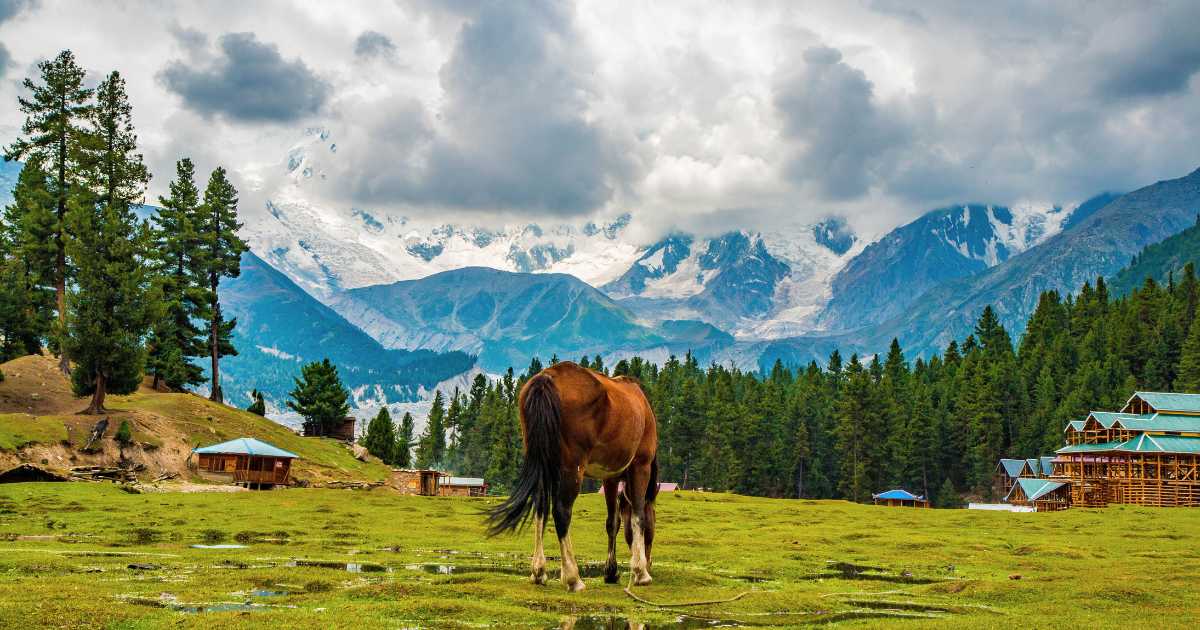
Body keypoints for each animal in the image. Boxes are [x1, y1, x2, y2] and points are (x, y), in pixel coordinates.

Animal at [484, 360, 662, 592]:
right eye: (654, 526)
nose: (650, 563)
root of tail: (547, 378)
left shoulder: (610, 476)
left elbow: (612, 522)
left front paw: (611, 572)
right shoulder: (640, 466)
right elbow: (638, 516)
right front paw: (640, 573)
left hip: (546, 465)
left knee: (540, 509)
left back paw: (538, 572)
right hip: (572, 469)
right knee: (561, 512)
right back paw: (573, 578)